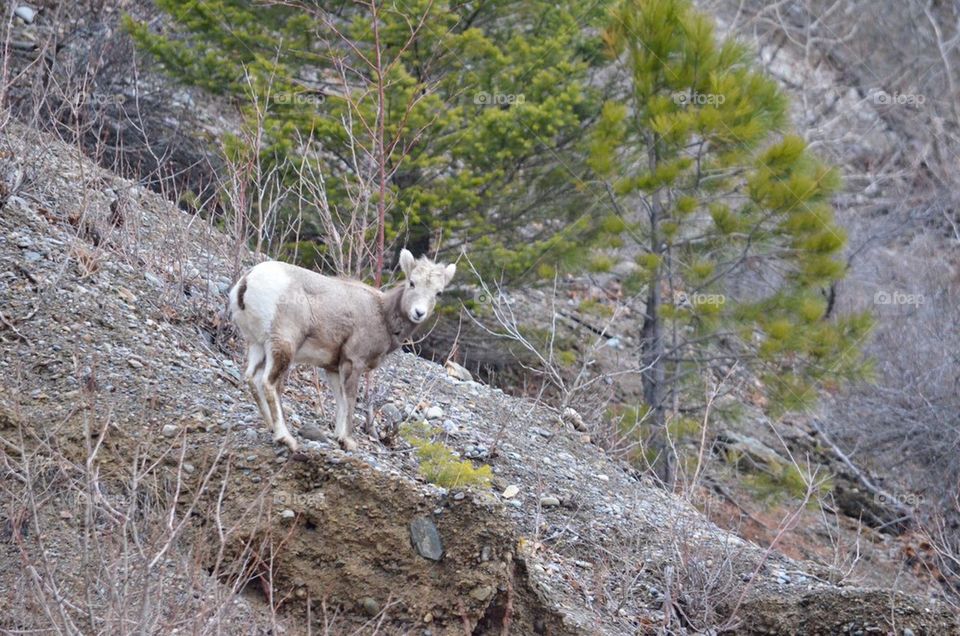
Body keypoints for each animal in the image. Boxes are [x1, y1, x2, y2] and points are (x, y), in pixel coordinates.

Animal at [228, 250, 456, 452]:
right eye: (412, 282)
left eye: (438, 293)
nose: (419, 312)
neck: (383, 315)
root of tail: (247, 281)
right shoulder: (353, 362)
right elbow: (351, 399)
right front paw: (347, 441)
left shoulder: (333, 368)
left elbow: (340, 400)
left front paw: (339, 437)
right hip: (283, 345)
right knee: (269, 383)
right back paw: (286, 438)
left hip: (258, 346)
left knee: (252, 378)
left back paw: (271, 428)